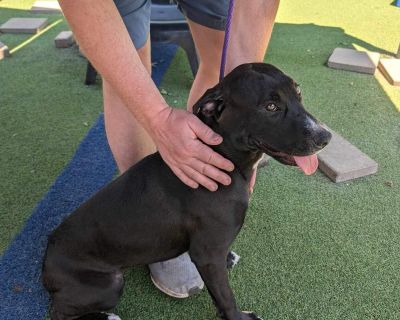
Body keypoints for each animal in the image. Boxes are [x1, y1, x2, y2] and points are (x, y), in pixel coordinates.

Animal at [43, 63, 332, 320]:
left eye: (298, 94)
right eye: (270, 107)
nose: (325, 137)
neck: (223, 155)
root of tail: (46, 261)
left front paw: (229, 258)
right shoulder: (207, 256)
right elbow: (226, 296)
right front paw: (239, 317)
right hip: (108, 284)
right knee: (59, 314)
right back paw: (106, 317)